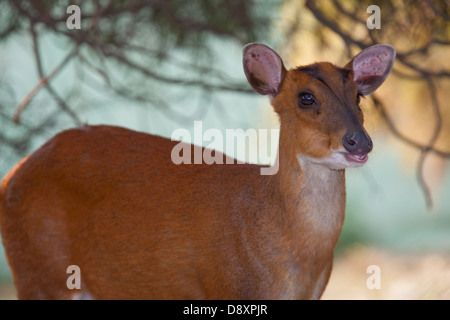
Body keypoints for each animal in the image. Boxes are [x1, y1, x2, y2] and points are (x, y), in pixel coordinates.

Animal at [0, 43, 394, 300]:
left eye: (358, 96)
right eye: (306, 97)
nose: (360, 142)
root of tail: (10, 176)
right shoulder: (229, 287)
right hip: (38, 270)